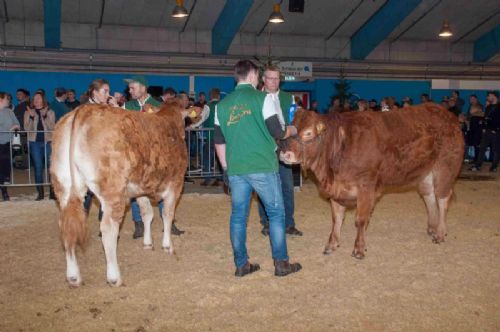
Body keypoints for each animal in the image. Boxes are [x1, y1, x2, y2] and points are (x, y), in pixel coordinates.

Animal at [50, 102, 188, 286]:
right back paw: (114, 277)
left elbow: (147, 214)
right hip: (113, 190)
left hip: (63, 186)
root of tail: (83, 110)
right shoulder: (176, 183)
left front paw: (148, 243)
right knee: (108, 229)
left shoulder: (140, 188)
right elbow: (167, 214)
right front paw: (167, 246)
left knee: (66, 226)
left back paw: (73, 277)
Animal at [282, 102, 464, 258]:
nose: (284, 153)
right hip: (426, 174)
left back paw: (440, 233)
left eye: (308, 133)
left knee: (442, 199)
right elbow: (337, 218)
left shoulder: (366, 186)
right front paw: (331, 245)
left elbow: (360, 220)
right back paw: (432, 228)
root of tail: (447, 114)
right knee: (429, 197)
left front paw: (359, 249)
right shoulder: (337, 189)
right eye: (288, 129)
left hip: (445, 167)